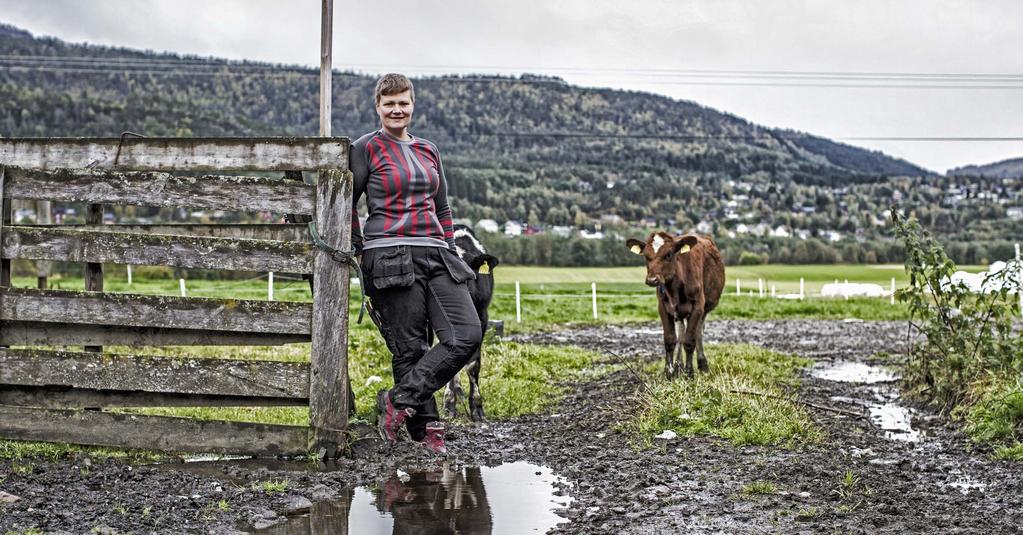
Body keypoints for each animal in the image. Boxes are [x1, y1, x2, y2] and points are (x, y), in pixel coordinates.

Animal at [626, 232, 724, 378]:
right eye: (646, 255)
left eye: (668, 254)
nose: (652, 279)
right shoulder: (663, 307)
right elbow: (670, 339)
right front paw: (669, 372)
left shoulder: (698, 306)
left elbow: (689, 340)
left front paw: (689, 373)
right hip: (678, 312)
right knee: (681, 333)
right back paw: (679, 366)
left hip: (704, 309)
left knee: (698, 332)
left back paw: (702, 365)